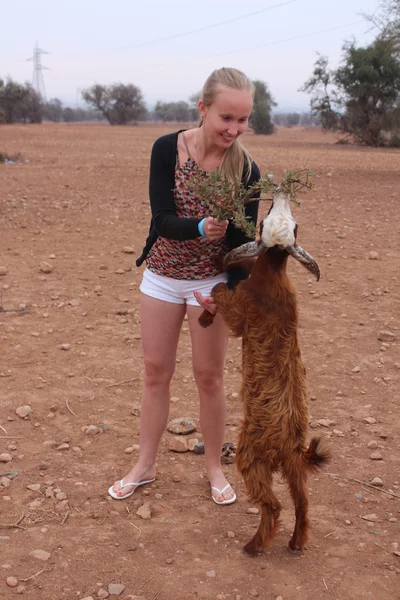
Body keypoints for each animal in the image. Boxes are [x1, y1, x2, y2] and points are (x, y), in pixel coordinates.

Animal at [198, 197, 330, 556]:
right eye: (291, 223)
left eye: (264, 220)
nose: (279, 194)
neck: (272, 275)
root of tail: (290, 446)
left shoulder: (242, 308)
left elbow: (222, 293)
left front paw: (205, 315)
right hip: (296, 469)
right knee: (302, 503)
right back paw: (296, 542)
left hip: (250, 456)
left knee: (273, 505)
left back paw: (253, 545)